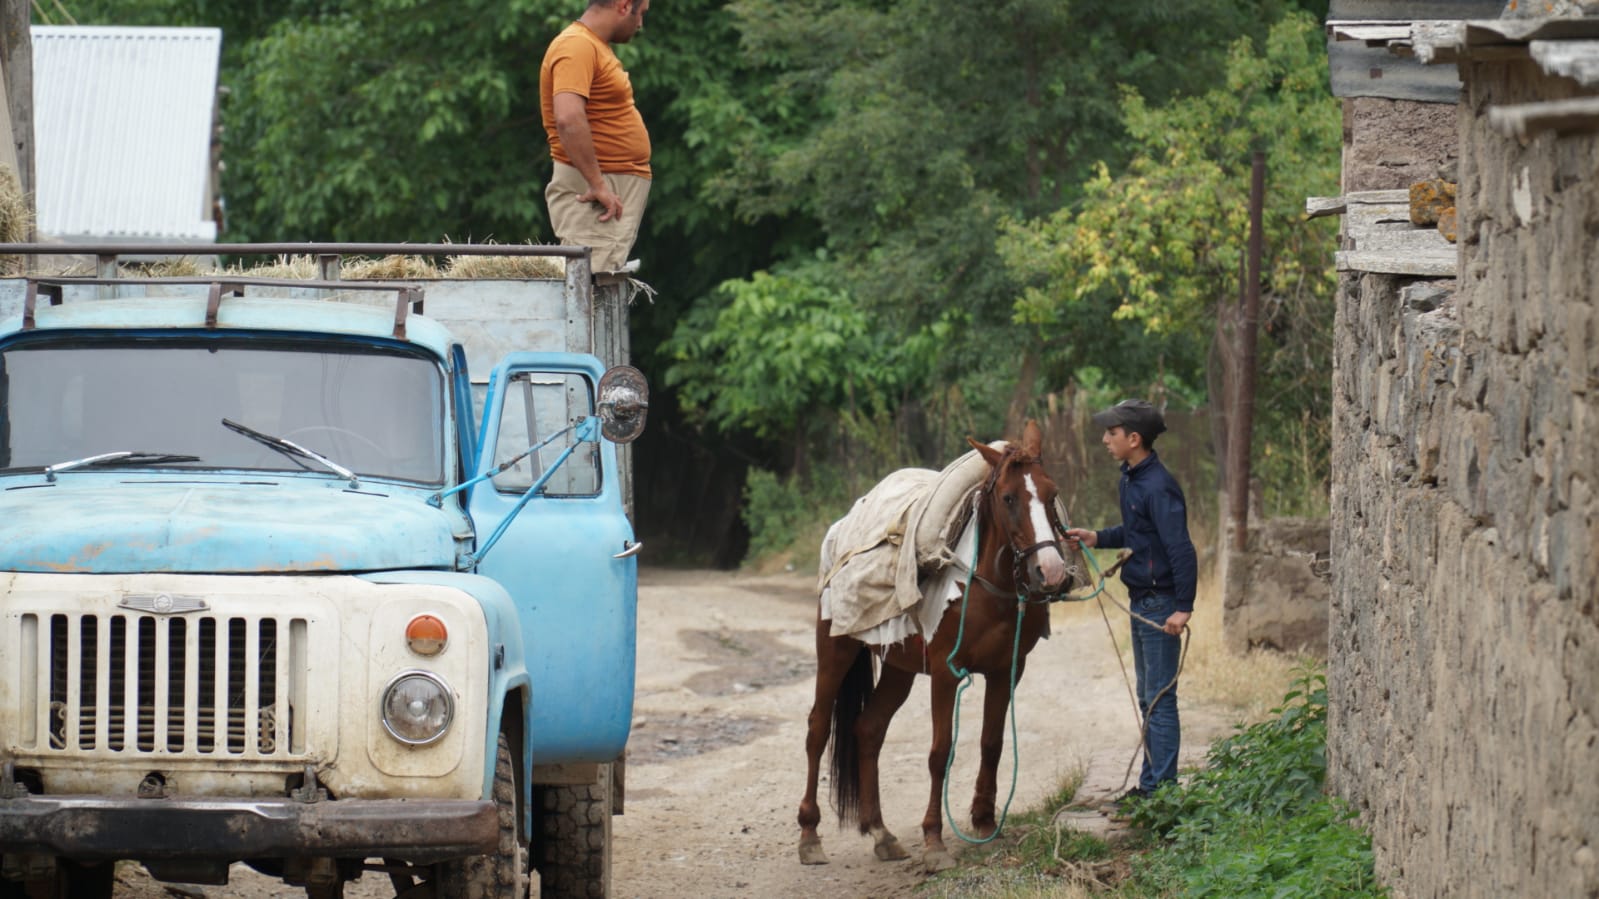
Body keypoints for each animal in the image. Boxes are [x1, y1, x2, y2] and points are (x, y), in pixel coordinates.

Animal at [796, 420, 1072, 872]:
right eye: (1009, 498)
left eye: (1052, 493)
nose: (1050, 572)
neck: (986, 587)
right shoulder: (945, 672)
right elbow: (940, 753)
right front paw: (934, 842)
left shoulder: (1007, 670)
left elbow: (991, 743)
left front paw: (984, 823)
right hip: (835, 650)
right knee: (818, 729)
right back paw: (809, 835)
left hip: (898, 668)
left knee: (868, 729)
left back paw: (881, 833)